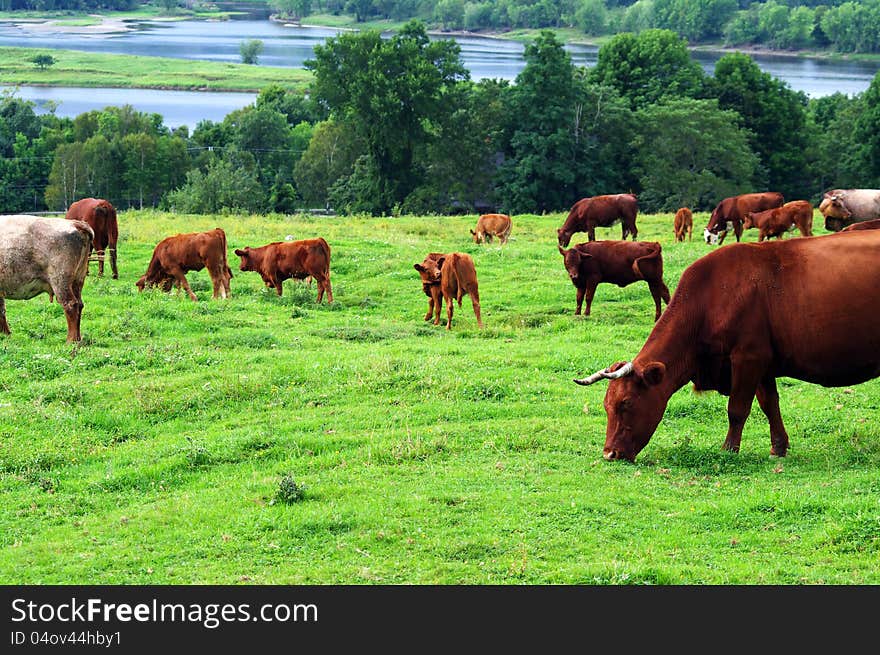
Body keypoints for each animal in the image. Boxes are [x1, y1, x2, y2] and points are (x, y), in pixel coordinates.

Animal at [0, 218, 93, 346]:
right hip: (78, 280)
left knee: (71, 305)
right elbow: (2, 311)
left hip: (60, 281)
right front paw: (5, 335)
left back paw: (71, 341)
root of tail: (75, 223)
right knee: (79, 304)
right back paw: (78, 339)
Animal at [576, 229, 880, 462]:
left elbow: (737, 409)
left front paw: (729, 449)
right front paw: (778, 447)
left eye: (626, 403)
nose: (609, 454)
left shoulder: (748, 358)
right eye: (606, 404)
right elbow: (770, 404)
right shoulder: (763, 363)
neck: (710, 297)